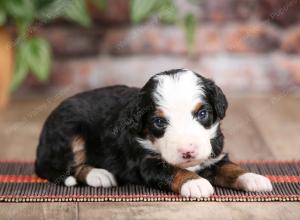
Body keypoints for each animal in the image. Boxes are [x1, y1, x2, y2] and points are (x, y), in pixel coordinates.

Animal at [35, 69, 272, 198]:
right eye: (159, 122)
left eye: (202, 113)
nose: (188, 151)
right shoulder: (147, 163)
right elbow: (174, 170)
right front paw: (195, 183)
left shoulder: (213, 154)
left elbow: (231, 168)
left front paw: (254, 178)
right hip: (69, 134)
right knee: (67, 167)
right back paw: (99, 175)